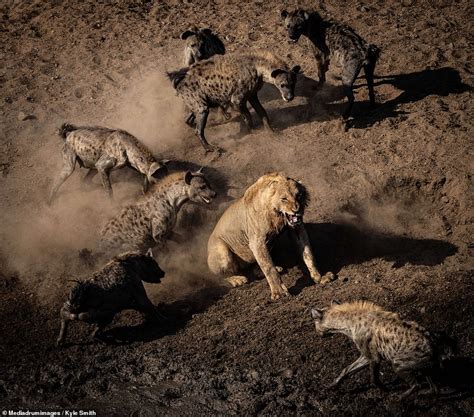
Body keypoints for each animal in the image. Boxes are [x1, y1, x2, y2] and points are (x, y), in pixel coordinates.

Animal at [206, 172, 334, 300]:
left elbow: (308, 254)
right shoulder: (257, 242)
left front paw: (320, 277)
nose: (297, 210)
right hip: (223, 252)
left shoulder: (297, 230)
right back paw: (237, 279)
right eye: (284, 199)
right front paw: (279, 292)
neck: (277, 216)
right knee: (218, 278)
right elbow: (269, 267)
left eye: (298, 195)